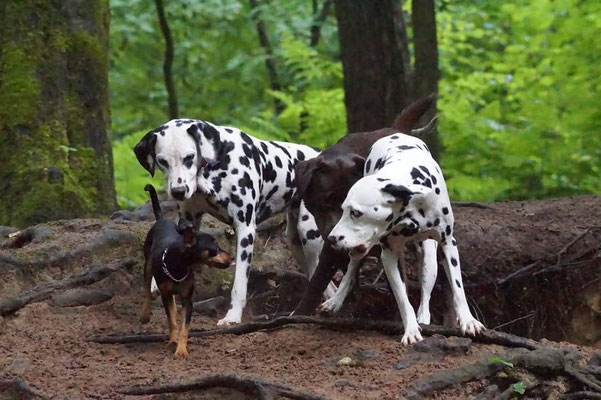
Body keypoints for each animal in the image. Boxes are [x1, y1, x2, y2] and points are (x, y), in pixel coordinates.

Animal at [135, 119, 328, 324]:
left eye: (189, 157)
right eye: (162, 161)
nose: (178, 191)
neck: (213, 167)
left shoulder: (245, 230)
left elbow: (239, 284)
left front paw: (233, 316)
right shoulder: (188, 221)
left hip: (309, 234)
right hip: (297, 244)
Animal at [141, 184, 232, 356]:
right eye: (215, 248)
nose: (231, 256)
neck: (180, 268)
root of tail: (161, 219)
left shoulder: (187, 300)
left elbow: (184, 327)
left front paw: (181, 350)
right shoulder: (166, 294)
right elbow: (171, 321)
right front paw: (172, 341)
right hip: (148, 264)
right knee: (147, 290)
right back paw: (145, 315)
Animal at [324, 133, 482, 346]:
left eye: (356, 212)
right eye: (343, 210)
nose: (331, 238)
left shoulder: (449, 244)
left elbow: (458, 289)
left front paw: (468, 321)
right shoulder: (389, 256)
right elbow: (402, 297)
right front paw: (411, 330)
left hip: (429, 260)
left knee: (426, 290)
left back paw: (424, 317)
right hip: (363, 249)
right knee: (352, 268)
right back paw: (336, 300)